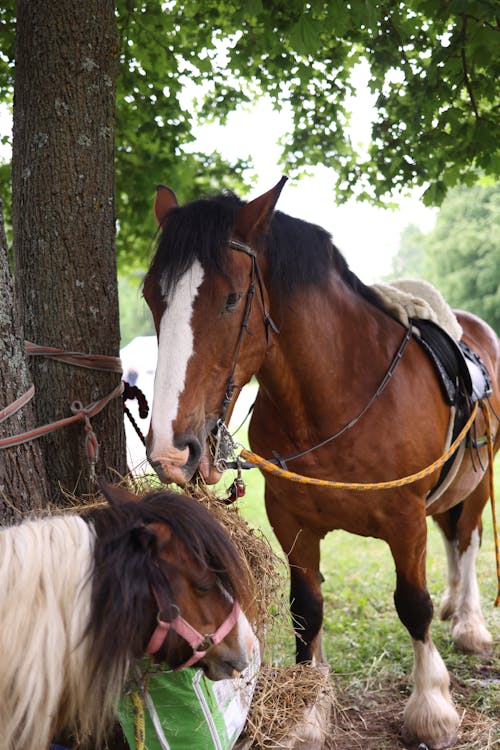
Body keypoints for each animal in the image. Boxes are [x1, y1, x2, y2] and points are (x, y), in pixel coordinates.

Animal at [143, 179, 498, 748]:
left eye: (232, 297)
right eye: (152, 297)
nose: (172, 450)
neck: (341, 395)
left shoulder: (404, 519)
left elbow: (412, 604)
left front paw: (432, 708)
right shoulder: (291, 519)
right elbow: (306, 610)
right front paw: (310, 708)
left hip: (478, 478)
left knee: (465, 538)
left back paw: (468, 622)